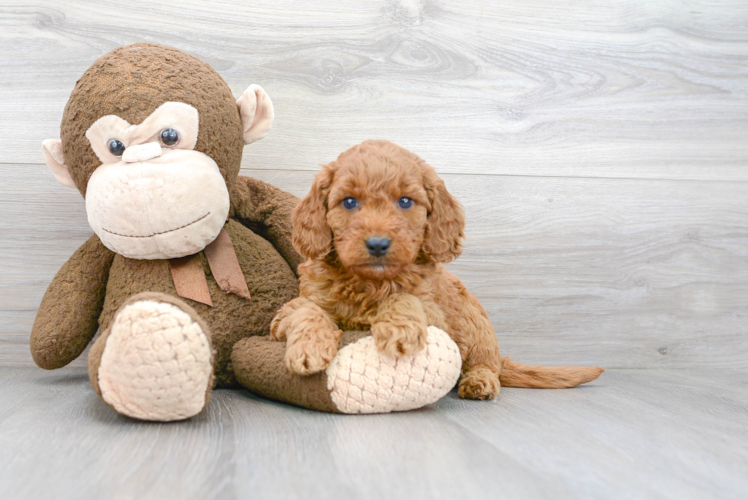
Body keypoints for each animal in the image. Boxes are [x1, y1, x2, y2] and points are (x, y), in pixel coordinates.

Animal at [272, 140, 604, 398]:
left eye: (405, 201)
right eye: (349, 202)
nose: (378, 244)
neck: (371, 282)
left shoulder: (437, 317)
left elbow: (405, 297)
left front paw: (399, 330)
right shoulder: (292, 308)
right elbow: (306, 310)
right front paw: (308, 349)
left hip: (475, 327)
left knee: (485, 365)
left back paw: (480, 382)